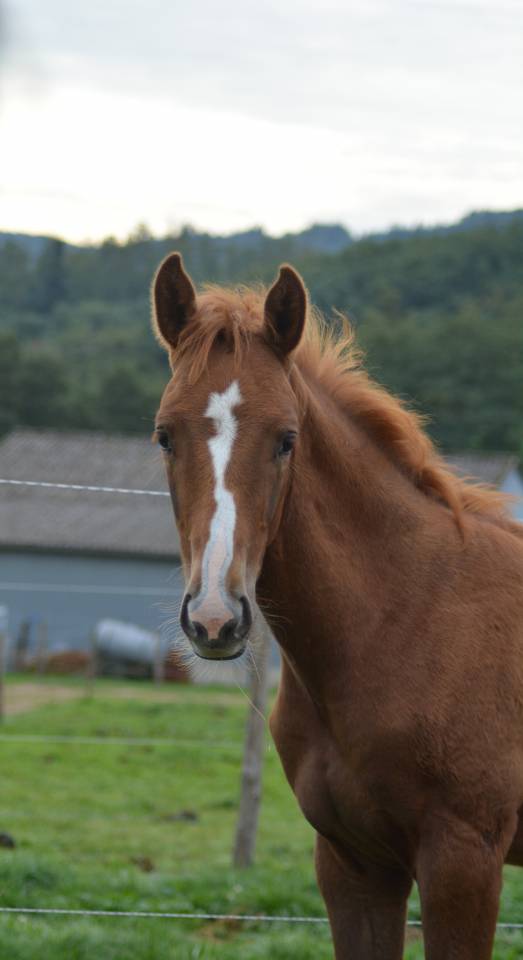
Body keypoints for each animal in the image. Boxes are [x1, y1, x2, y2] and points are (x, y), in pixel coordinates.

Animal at [150, 252, 523, 959]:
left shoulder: (464, 861)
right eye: (164, 436)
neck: (407, 621)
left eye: (286, 438)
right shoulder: (354, 864)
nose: (215, 618)